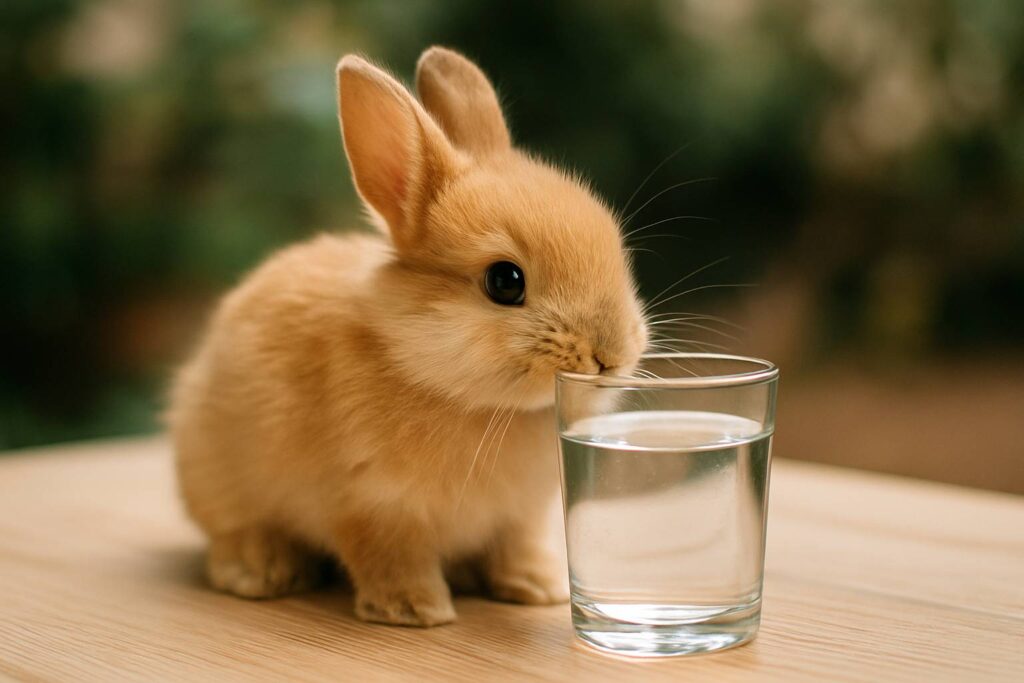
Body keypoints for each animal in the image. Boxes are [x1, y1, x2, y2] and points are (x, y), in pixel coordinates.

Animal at [169, 46, 648, 627]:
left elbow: (514, 549)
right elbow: (389, 557)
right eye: (505, 282)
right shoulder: (373, 507)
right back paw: (261, 571)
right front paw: (415, 610)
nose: (612, 355)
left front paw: (538, 588)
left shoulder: (517, 518)